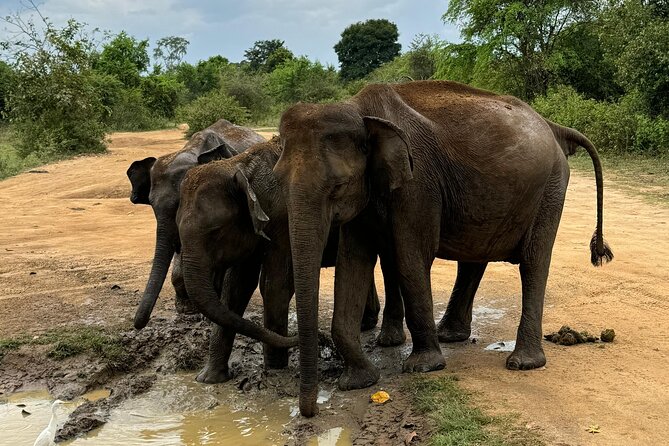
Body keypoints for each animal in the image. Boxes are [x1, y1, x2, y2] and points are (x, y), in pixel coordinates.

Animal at [176, 137, 406, 383]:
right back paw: (365, 325)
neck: (239, 167)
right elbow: (236, 287)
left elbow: (274, 285)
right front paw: (209, 379)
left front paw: (274, 368)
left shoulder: (283, 219)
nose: (322, 338)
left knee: (389, 258)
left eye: (215, 231)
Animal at [272, 80, 613, 417]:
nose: (310, 412)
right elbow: (352, 262)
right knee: (476, 257)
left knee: (533, 263)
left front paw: (423, 367)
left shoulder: (417, 185)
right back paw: (450, 335)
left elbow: (411, 256)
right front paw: (359, 382)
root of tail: (552, 126)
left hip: (549, 190)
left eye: (338, 186)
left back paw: (522, 363)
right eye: (277, 181)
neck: (358, 109)